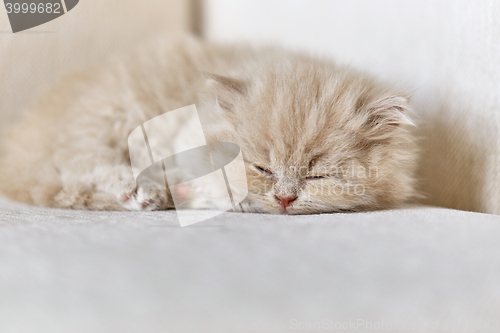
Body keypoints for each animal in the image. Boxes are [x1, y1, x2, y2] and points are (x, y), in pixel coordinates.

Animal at [0, 35, 416, 213]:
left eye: (319, 175)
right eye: (261, 168)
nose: (284, 198)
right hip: (109, 115)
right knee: (83, 166)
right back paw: (143, 192)